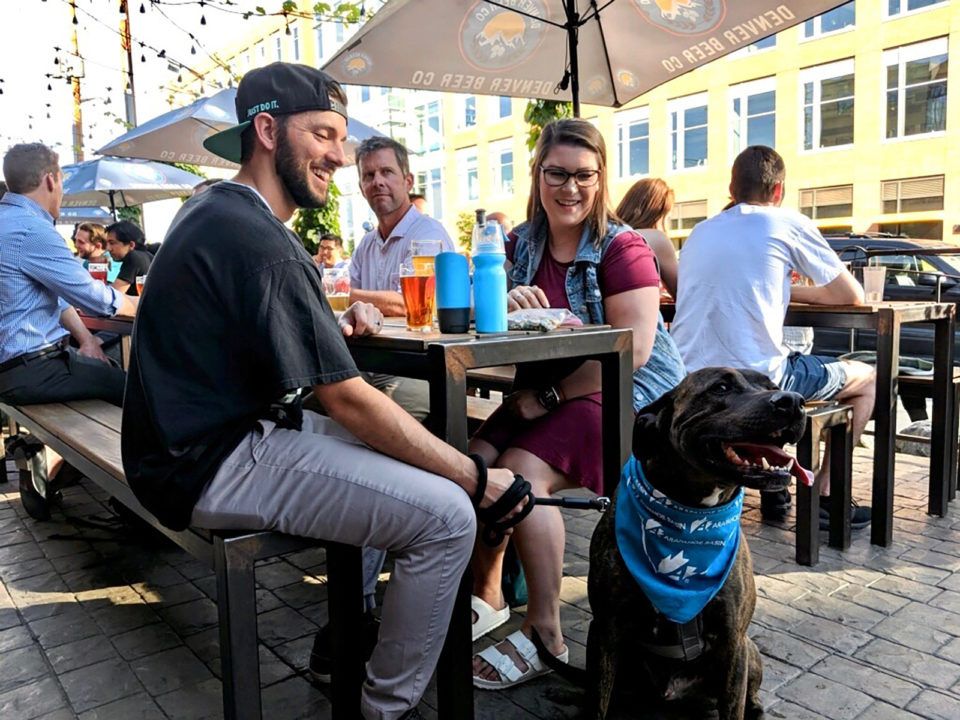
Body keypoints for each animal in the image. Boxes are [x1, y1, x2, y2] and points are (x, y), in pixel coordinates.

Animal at [588, 368, 808, 716]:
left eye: (773, 386)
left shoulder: (733, 642)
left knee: (749, 693)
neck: (690, 518)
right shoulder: (604, 632)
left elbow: (734, 705)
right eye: (721, 387)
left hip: (749, 651)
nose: (794, 401)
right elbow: (597, 704)